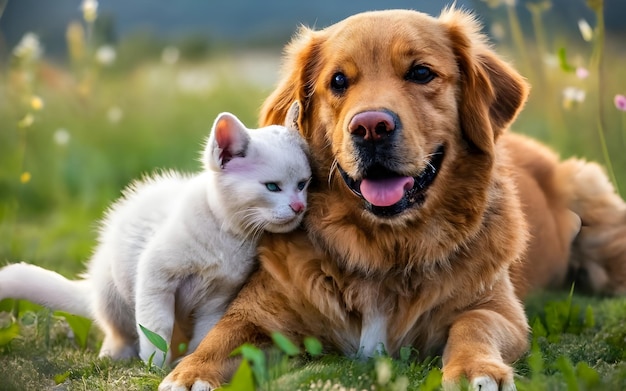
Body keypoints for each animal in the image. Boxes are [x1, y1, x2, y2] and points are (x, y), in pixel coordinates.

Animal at [0, 103, 310, 368]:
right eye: (272, 187)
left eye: (303, 184)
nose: (299, 207)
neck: (227, 236)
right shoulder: (154, 277)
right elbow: (156, 326)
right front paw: (155, 365)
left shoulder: (217, 299)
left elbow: (204, 334)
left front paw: (189, 360)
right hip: (113, 294)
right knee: (118, 330)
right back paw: (116, 352)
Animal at [160, 6, 624, 391]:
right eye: (338, 81)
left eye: (420, 73)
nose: (370, 127)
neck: (385, 248)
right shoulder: (260, 312)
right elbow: (223, 336)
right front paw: (189, 373)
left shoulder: (500, 309)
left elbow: (474, 324)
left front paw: (475, 369)